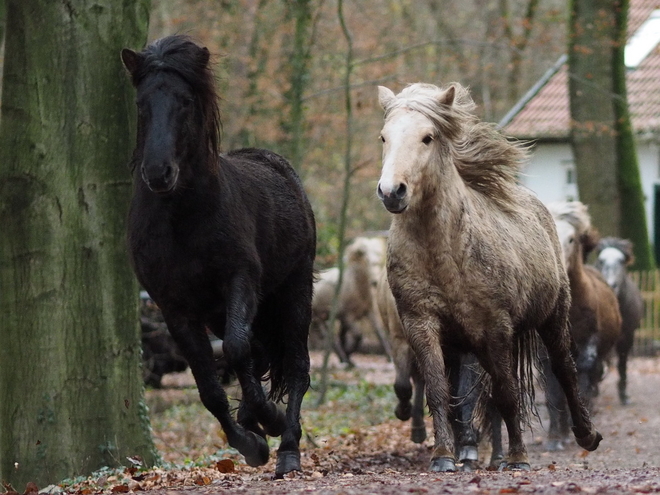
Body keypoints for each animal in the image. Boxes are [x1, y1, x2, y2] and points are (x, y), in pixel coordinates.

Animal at [122, 35, 318, 476]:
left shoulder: (239, 280)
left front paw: (269, 422)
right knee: (258, 354)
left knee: (295, 365)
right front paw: (250, 441)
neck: (181, 220)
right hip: (220, 310)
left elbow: (235, 349)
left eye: (185, 101)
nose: (158, 173)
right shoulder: (173, 306)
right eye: (141, 103)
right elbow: (210, 384)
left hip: (294, 291)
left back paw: (289, 448)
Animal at [374, 81, 600, 472]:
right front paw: (443, 456)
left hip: (551, 318)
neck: (443, 251)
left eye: (427, 137)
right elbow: (439, 391)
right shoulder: (421, 323)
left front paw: (518, 458)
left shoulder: (495, 327)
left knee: (563, 371)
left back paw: (584, 435)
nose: (392, 191)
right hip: (466, 345)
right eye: (384, 137)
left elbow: (507, 395)